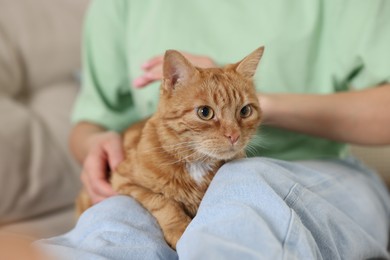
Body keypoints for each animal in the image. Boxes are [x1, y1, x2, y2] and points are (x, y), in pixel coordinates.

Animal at [76, 45, 266, 249]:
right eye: (205, 112)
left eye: (245, 111)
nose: (234, 136)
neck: (197, 163)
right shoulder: (124, 182)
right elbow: (162, 201)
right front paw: (180, 229)